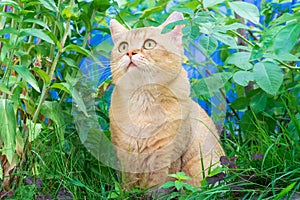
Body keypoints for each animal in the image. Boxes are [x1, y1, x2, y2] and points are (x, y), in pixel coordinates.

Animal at [109, 11, 224, 190]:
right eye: (123, 47)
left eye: (149, 44)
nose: (130, 53)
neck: (143, 101)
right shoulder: (124, 153)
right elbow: (128, 185)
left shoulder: (167, 155)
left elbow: (160, 185)